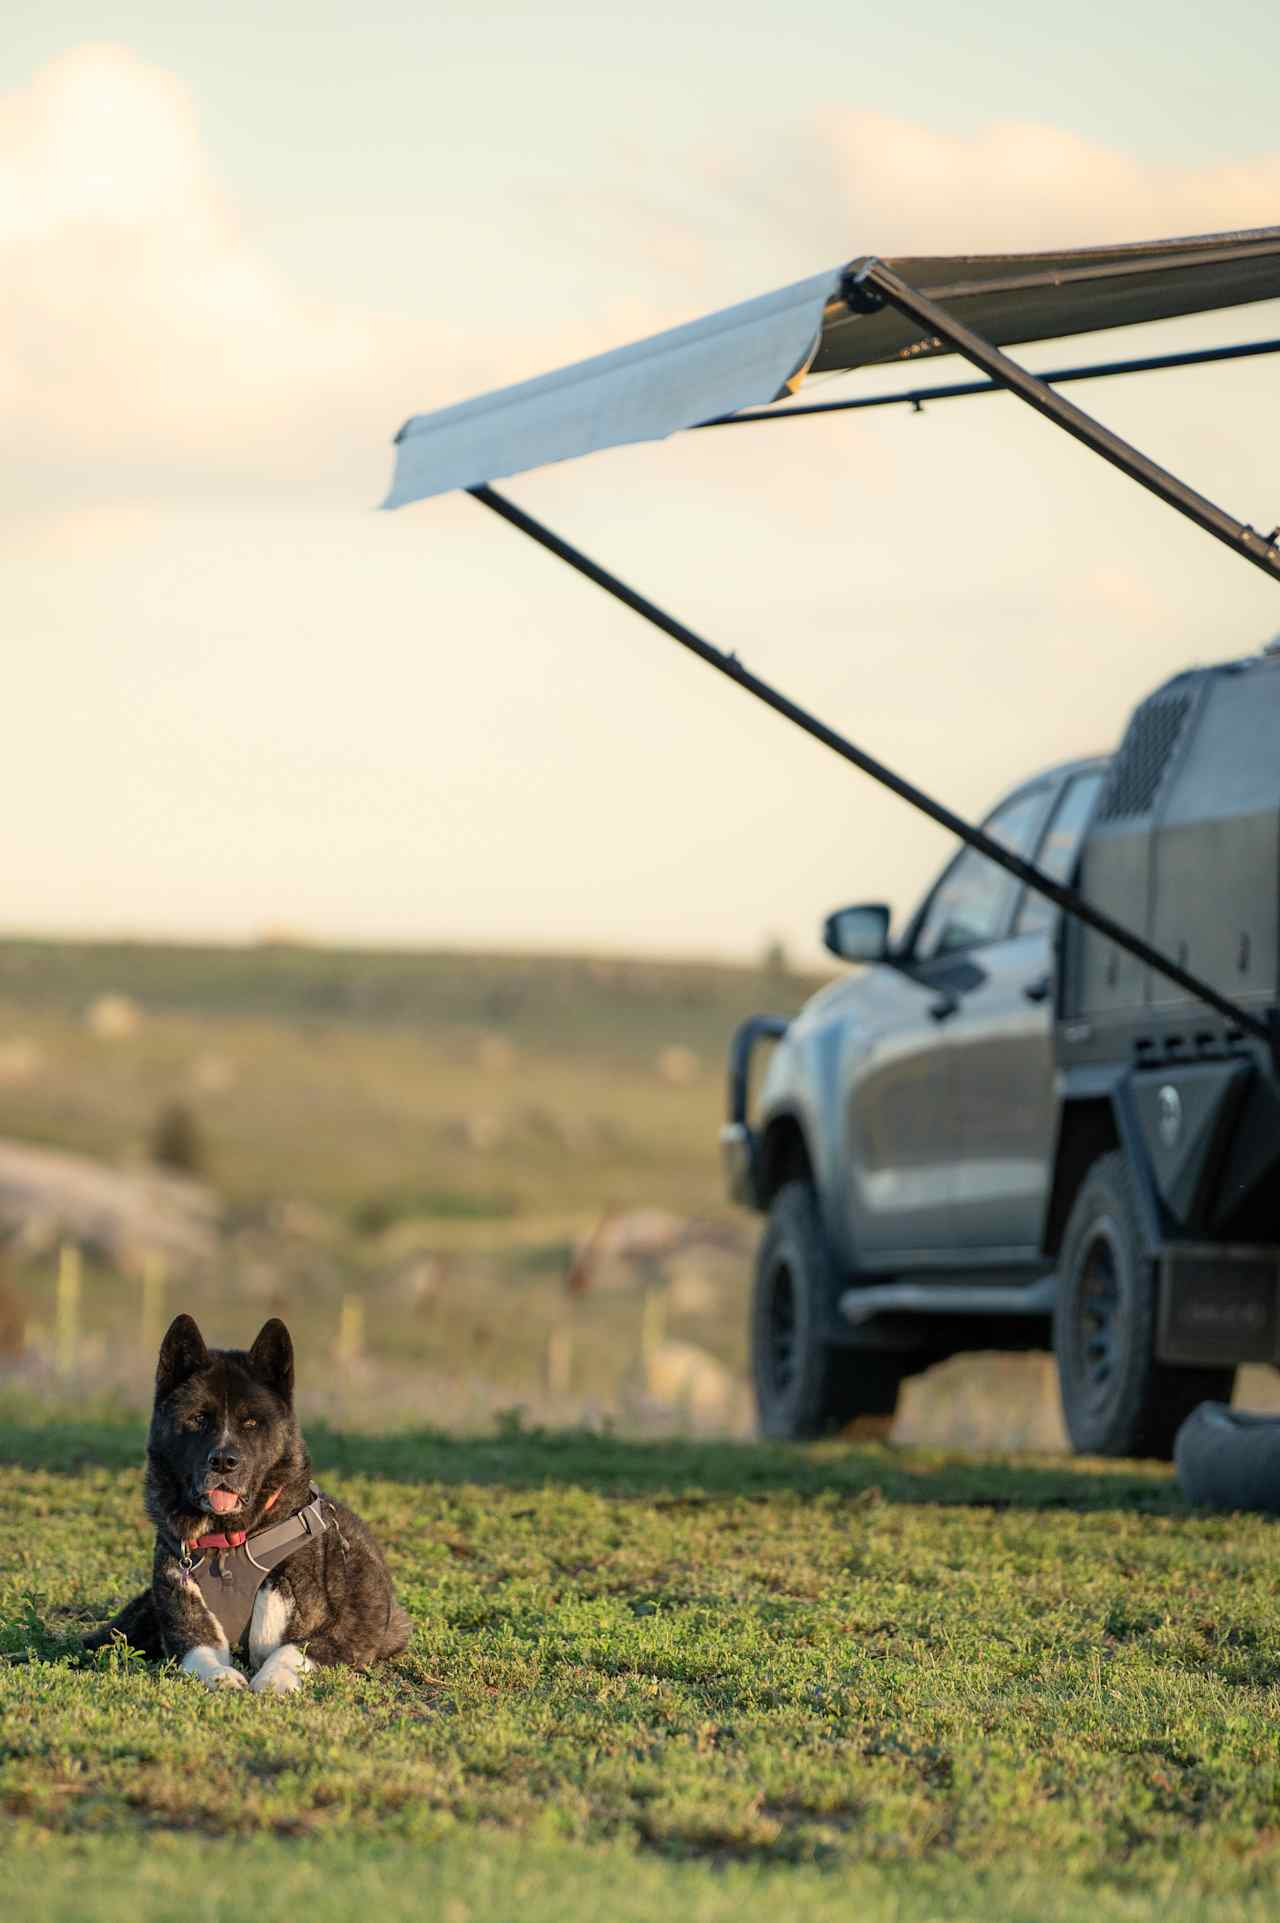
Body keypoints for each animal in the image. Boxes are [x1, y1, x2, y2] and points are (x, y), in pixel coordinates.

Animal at [83, 1315, 409, 1692]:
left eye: (251, 1422)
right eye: (198, 1419)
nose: (224, 1462)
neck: (229, 1542)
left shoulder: (350, 1630)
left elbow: (292, 1649)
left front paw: (274, 1679)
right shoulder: (185, 1622)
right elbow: (199, 1652)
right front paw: (221, 1676)